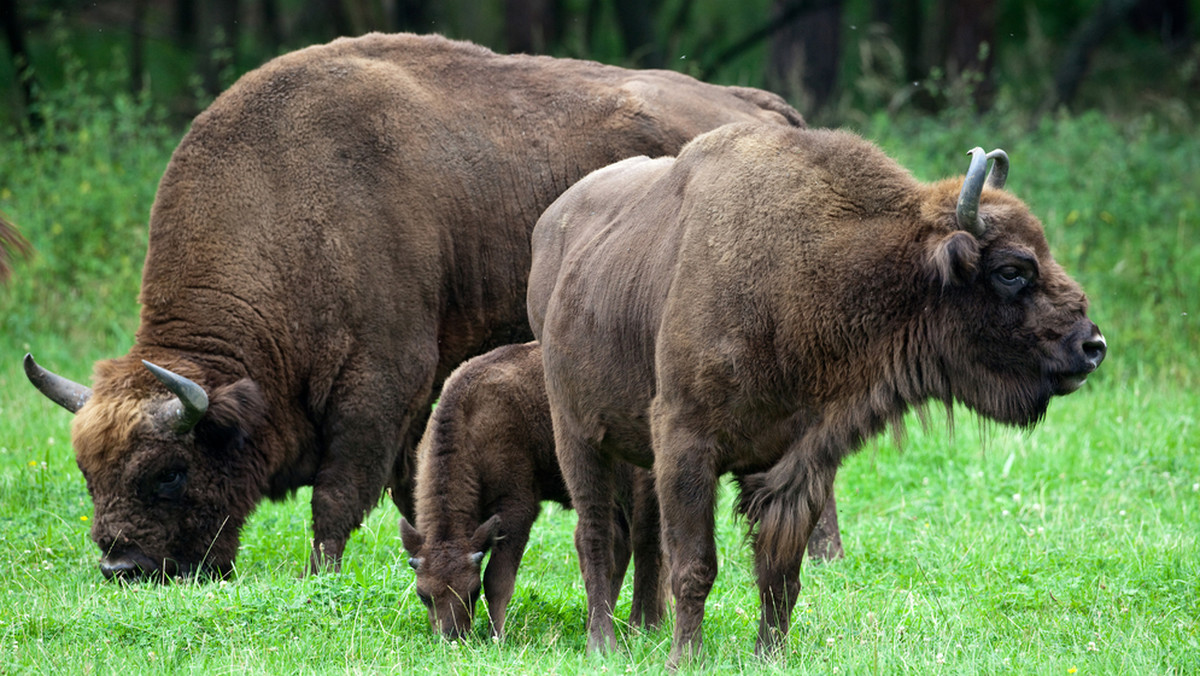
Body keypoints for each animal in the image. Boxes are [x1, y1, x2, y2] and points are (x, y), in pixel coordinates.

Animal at [21, 31, 806, 581]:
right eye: (88, 474)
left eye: (170, 472)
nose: (122, 567)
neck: (288, 200)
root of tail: (763, 109)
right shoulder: (416, 403)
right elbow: (409, 484)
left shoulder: (381, 384)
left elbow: (338, 496)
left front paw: (320, 580)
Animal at [398, 341, 662, 643]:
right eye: (423, 595)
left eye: (472, 591)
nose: (453, 636)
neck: (469, 418)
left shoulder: (517, 506)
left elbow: (498, 577)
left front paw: (496, 636)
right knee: (620, 543)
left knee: (646, 541)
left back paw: (643, 626)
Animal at [530, 120, 1108, 662]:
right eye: (1011, 270)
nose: (1092, 345)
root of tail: (550, 226)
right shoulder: (685, 443)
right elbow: (696, 565)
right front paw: (685, 659)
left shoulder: (799, 461)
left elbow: (780, 573)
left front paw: (769, 654)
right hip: (575, 433)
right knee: (595, 535)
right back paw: (602, 643)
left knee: (640, 534)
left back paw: (638, 632)